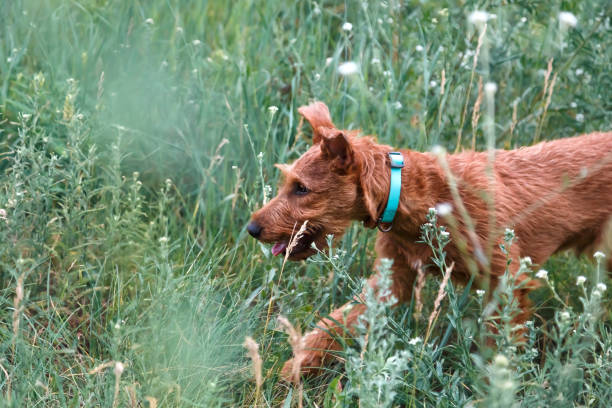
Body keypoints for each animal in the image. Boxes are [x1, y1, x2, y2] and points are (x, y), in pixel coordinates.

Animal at [247, 101, 612, 380]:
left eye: (301, 188)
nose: (252, 228)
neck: (422, 195)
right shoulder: (392, 280)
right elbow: (335, 324)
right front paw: (294, 368)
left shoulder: (505, 280)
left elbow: (499, 343)